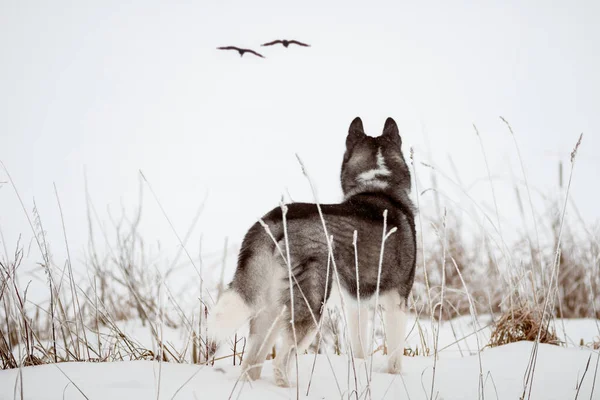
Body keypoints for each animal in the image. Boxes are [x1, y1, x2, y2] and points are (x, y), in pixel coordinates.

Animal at [209, 117, 414, 386]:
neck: (378, 185)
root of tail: (275, 218)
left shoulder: (356, 304)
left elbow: (360, 349)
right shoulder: (397, 301)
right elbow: (396, 358)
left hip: (272, 309)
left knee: (251, 364)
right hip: (312, 307)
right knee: (280, 362)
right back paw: (289, 387)